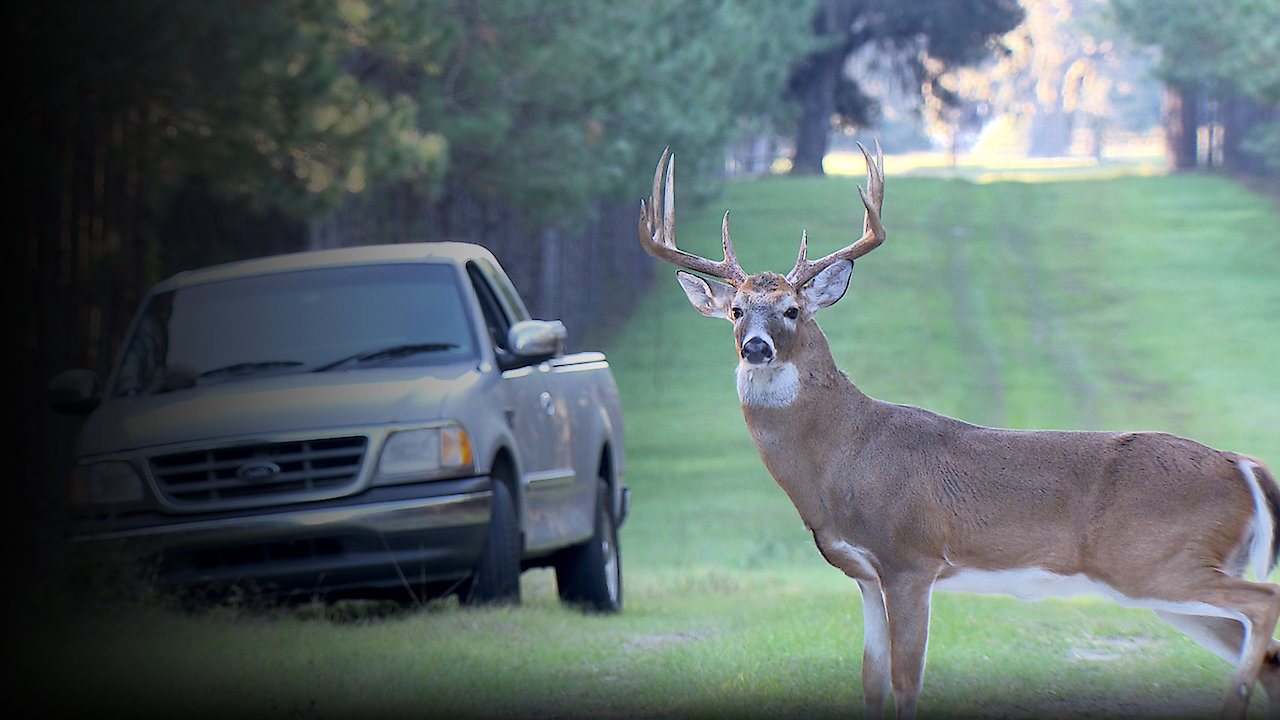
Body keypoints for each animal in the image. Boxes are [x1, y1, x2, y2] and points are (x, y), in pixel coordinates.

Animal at [637, 143, 1280, 720]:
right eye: (736, 310)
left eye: (792, 310)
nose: (756, 347)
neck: (841, 457)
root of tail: (1240, 464)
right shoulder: (863, 574)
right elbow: (870, 680)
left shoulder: (911, 558)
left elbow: (906, 682)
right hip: (1168, 577)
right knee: (1264, 649)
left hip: (1157, 559)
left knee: (1264, 604)